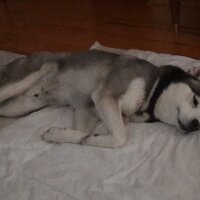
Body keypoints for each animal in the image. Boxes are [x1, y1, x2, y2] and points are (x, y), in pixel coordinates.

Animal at [0, 49, 200, 147]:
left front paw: (67, 135)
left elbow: (81, 131)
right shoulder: (105, 96)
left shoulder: (87, 110)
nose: (195, 124)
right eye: (195, 100)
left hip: (20, 106)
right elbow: (120, 138)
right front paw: (92, 139)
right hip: (19, 82)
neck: (152, 90)